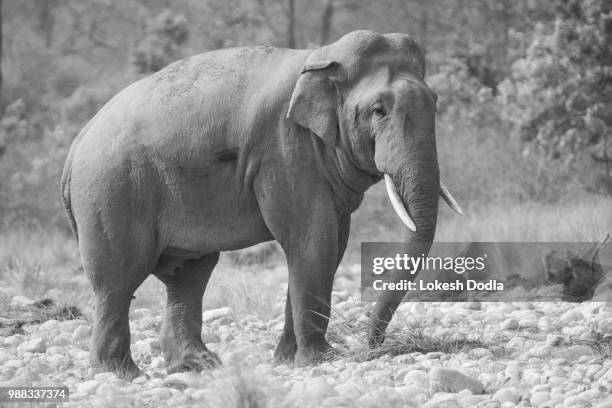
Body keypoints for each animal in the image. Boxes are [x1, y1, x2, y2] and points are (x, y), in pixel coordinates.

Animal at [61, 28, 464, 380]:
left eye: (435, 103)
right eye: (378, 110)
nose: (371, 345)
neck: (320, 57)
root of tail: (75, 147)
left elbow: (332, 246)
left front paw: (286, 360)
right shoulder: (283, 149)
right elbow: (313, 241)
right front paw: (320, 359)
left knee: (188, 276)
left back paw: (197, 366)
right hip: (109, 193)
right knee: (118, 279)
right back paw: (122, 373)